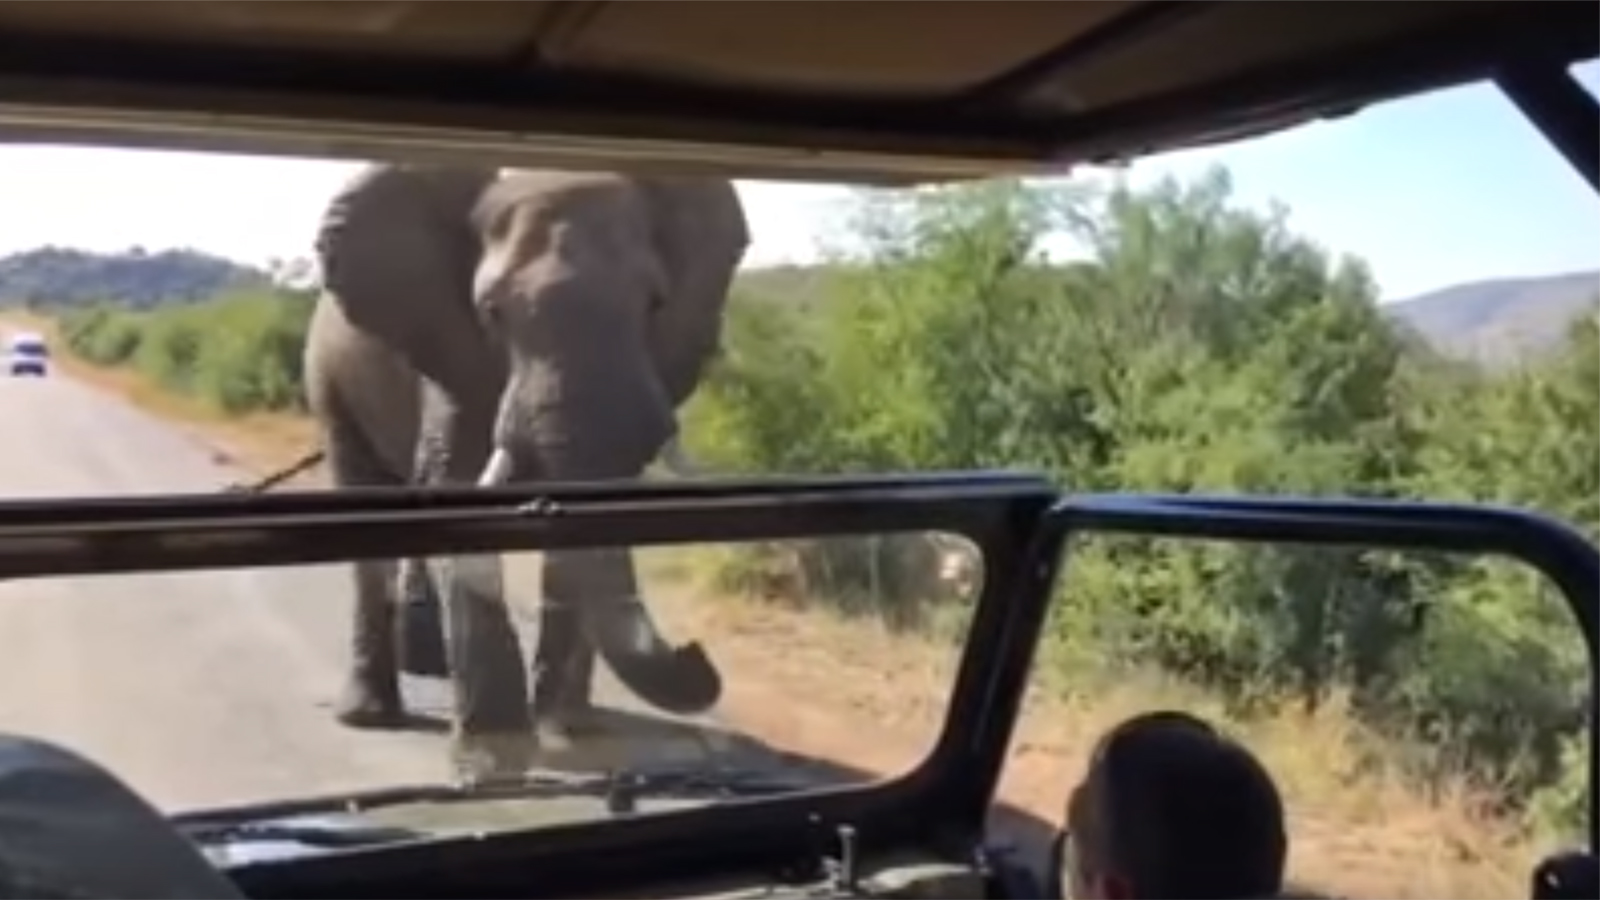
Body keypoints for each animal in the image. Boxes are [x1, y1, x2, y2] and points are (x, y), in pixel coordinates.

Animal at [304, 162, 748, 778]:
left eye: (655, 303)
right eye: (493, 312)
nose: (696, 654)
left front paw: (571, 736)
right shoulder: (451, 350)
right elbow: (458, 490)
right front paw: (494, 758)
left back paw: (431, 665)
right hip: (330, 379)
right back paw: (370, 715)